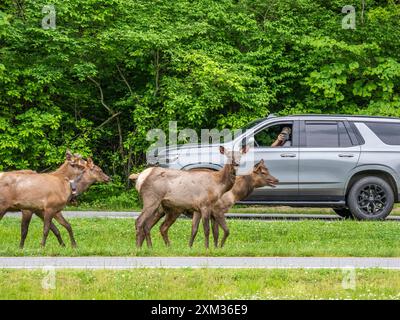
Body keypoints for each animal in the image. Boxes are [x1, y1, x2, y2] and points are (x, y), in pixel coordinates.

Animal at [141, 160, 278, 248]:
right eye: (263, 172)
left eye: (268, 170)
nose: (276, 180)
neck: (235, 193)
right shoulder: (218, 210)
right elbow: (224, 231)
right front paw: (220, 247)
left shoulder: (205, 212)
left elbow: (207, 231)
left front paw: (197, 247)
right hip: (172, 210)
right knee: (156, 226)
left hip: (162, 209)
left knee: (150, 225)